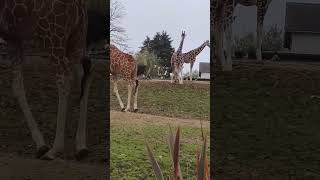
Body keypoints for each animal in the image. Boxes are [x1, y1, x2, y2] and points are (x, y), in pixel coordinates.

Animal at [0, 0, 92, 160]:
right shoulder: (12, 36)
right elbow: (17, 86)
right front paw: (40, 144)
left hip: (52, 36)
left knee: (65, 76)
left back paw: (55, 149)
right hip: (77, 36)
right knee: (83, 72)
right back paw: (81, 147)